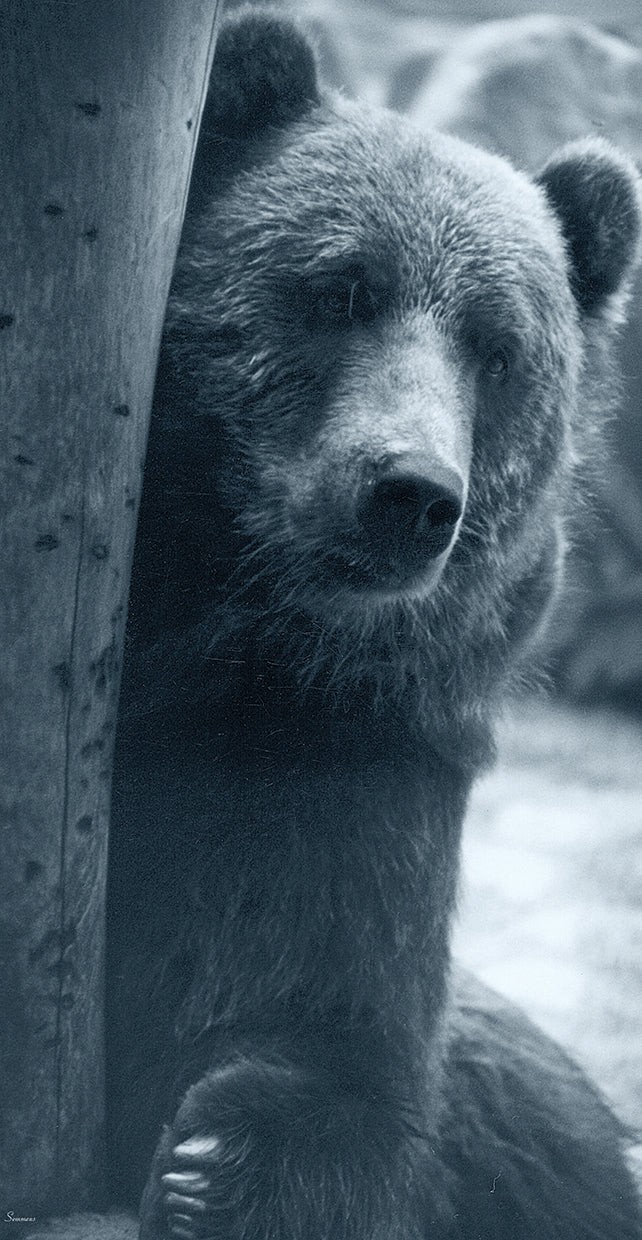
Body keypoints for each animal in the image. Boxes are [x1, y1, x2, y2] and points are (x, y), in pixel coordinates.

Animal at [106, 10, 642, 1240]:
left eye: (498, 347)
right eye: (341, 288)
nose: (409, 491)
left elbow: (334, 1034)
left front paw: (216, 1165)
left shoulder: (347, 758)